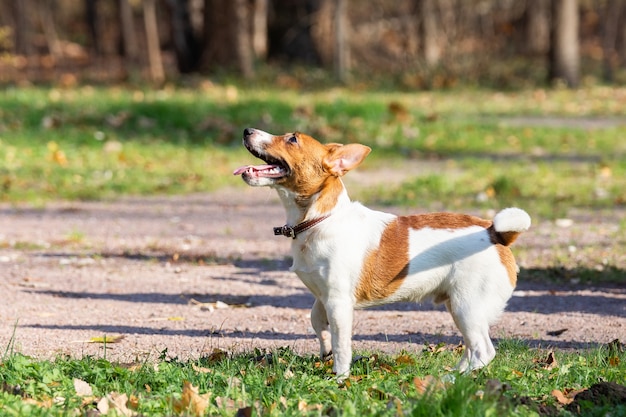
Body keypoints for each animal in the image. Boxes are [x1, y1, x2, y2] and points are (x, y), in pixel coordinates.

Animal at [233, 127, 528, 380]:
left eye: (292, 139)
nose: (247, 130)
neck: (319, 219)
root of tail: (495, 233)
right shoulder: (323, 296)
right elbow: (317, 320)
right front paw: (325, 347)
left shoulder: (339, 302)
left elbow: (342, 344)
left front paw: (340, 377)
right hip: (459, 308)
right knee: (470, 348)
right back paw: (455, 373)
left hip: (467, 306)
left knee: (483, 351)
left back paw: (456, 379)